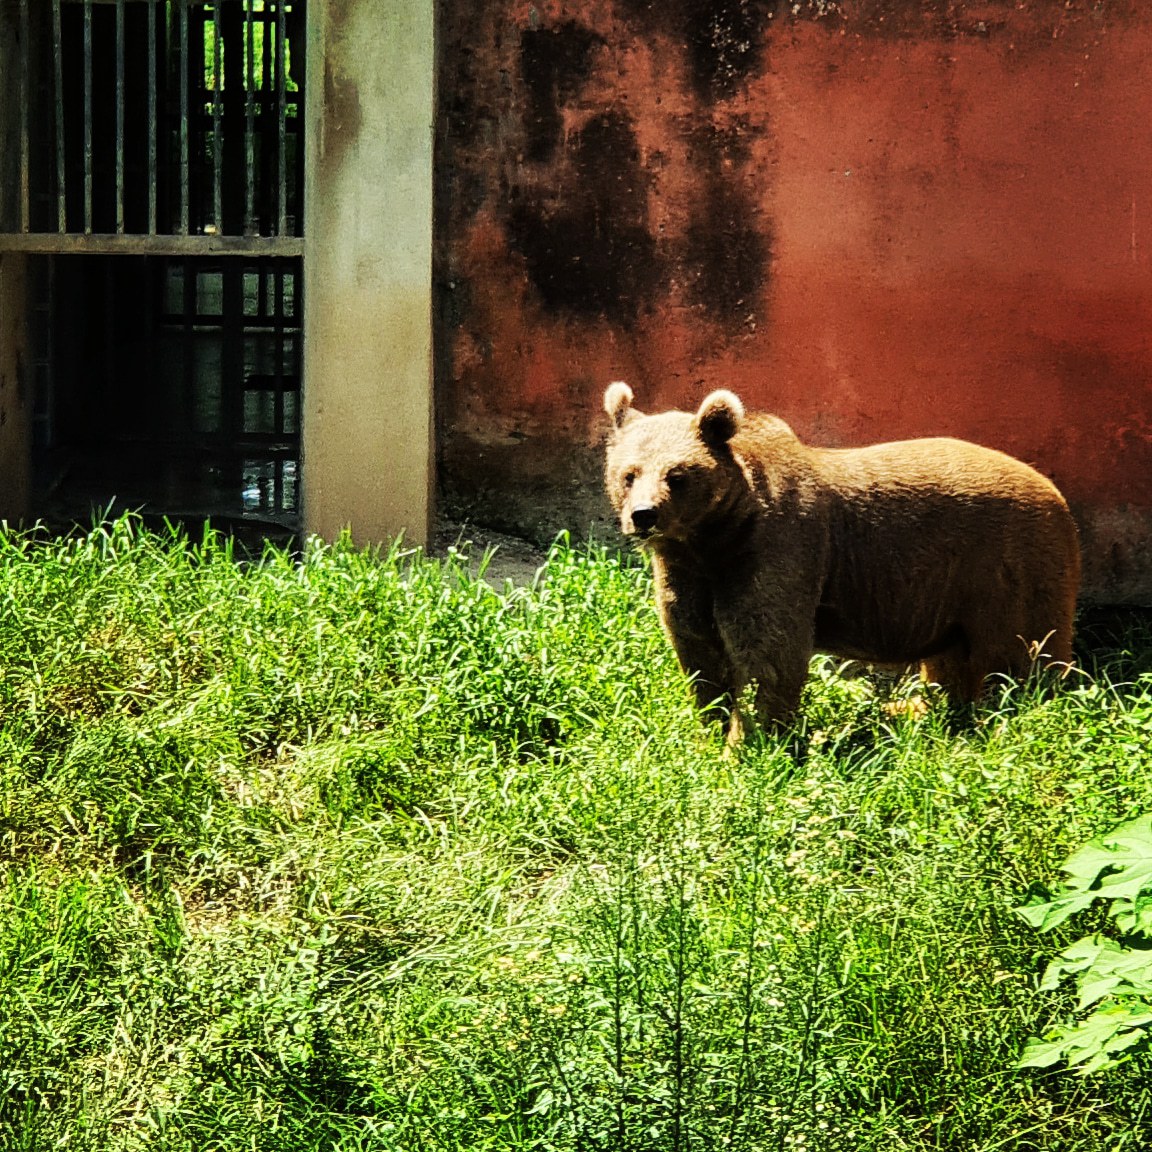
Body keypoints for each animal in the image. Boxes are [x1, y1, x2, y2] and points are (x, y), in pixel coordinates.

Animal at [603, 381, 1081, 742]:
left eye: (677, 475)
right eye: (628, 474)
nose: (644, 515)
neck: (715, 537)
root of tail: (1056, 495)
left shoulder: (775, 549)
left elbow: (767, 652)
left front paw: (748, 744)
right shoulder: (688, 574)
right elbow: (698, 649)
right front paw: (712, 728)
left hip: (1007, 564)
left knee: (1024, 654)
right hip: (952, 590)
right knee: (951, 660)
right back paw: (916, 709)